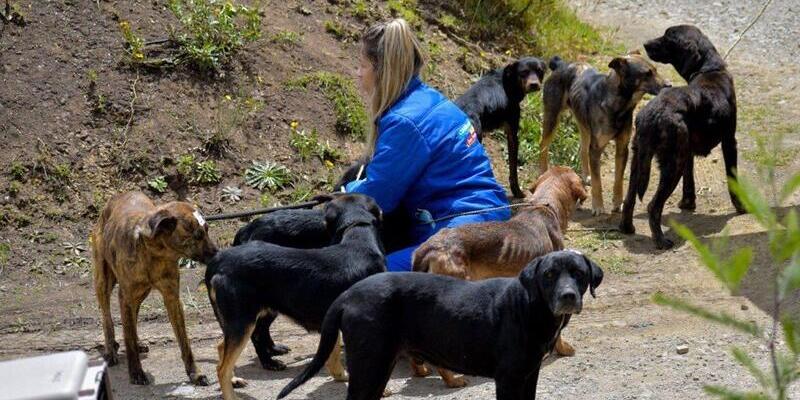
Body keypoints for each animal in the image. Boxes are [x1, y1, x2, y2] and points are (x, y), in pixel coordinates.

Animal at [280, 250, 600, 400]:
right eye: (549, 275)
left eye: (579, 273)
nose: (568, 296)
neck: (532, 308)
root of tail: (348, 294)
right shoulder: (508, 378)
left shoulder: (529, 374)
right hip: (369, 366)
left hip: (378, 367)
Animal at [456, 56, 552, 198]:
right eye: (523, 72)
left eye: (539, 71)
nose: (534, 84)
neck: (508, 81)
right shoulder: (513, 134)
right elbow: (513, 169)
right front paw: (517, 192)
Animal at [620, 25, 748, 248]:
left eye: (668, 39)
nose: (645, 44)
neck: (710, 69)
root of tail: (652, 114)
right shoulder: (729, 142)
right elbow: (732, 180)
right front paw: (741, 207)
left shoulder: (688, 151)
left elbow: (689, 181)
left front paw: (688, 203)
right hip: (672, 165)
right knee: (653, 206)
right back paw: (661, 241)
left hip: (640, 160)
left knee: (629, 200)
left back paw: (627, 228)